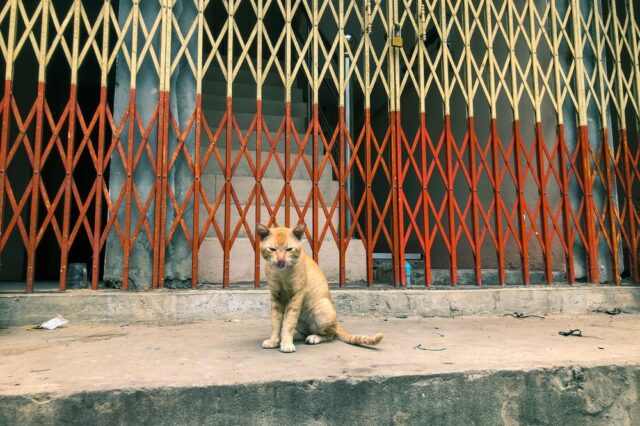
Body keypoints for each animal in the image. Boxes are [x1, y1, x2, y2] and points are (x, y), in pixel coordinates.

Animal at [256, 223, 384, 352]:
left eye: (289, 249)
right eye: (272, 249)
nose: (281, 260)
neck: (281, 273)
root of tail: (336, 325)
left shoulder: (296, 296)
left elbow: (289, 322)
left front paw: (286, 343)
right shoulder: (275, 297)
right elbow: (276, 323)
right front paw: (274, 341)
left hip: (321, 308)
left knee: (330, 335)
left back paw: (314, 337)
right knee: (305, 333)